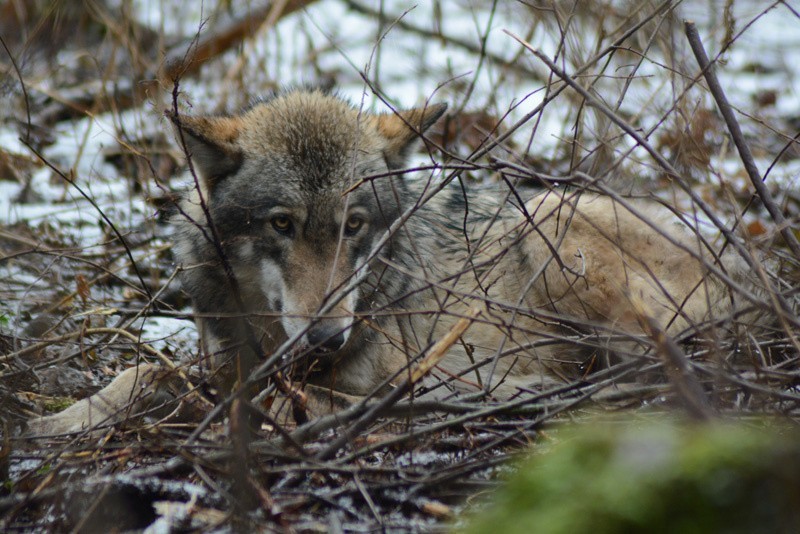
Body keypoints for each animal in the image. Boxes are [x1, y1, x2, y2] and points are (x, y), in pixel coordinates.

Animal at [28, 89, 748, 440]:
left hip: (552, 230)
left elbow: (266, 397)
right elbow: (144, 372)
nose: (327, 336)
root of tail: (742, 273)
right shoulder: (221, 358)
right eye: (282, 224)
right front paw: (55, 423)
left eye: (354, 226)